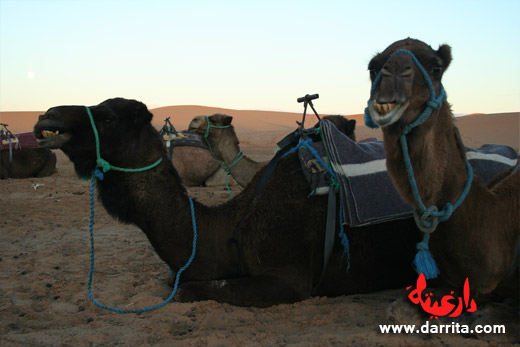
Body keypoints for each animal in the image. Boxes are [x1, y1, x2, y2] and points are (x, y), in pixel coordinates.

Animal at [33, 97, 422, 308]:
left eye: (108, 116)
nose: (47, 116)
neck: (230, 229)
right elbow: (173, 281)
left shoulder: (289, 280)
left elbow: (187, 290)